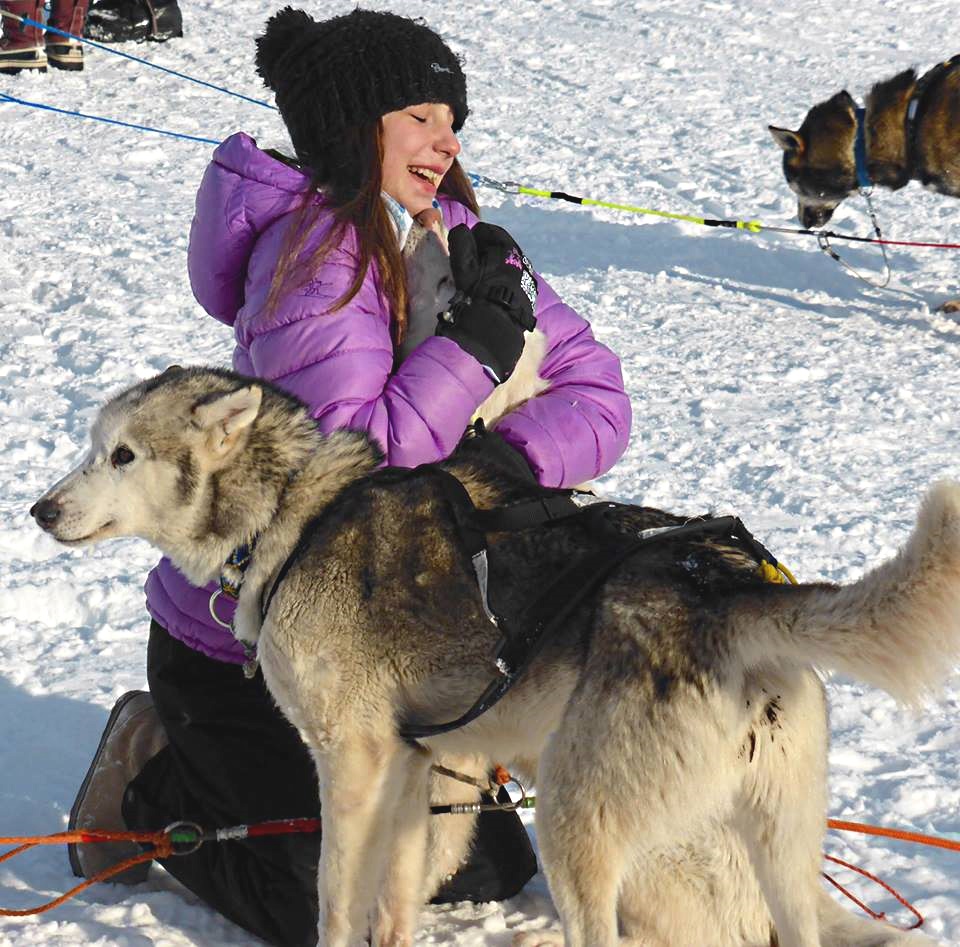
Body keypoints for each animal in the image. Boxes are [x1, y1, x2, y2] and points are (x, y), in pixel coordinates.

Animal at [31, 366, 952, 944]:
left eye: (122, 455)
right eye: (91, 447)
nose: (41, 509)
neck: (295, 515)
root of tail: (726, 588)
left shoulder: (352, 764)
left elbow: (335, 900)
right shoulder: (420, 770)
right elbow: (397, 899)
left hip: (578, 821)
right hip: (779, 847)